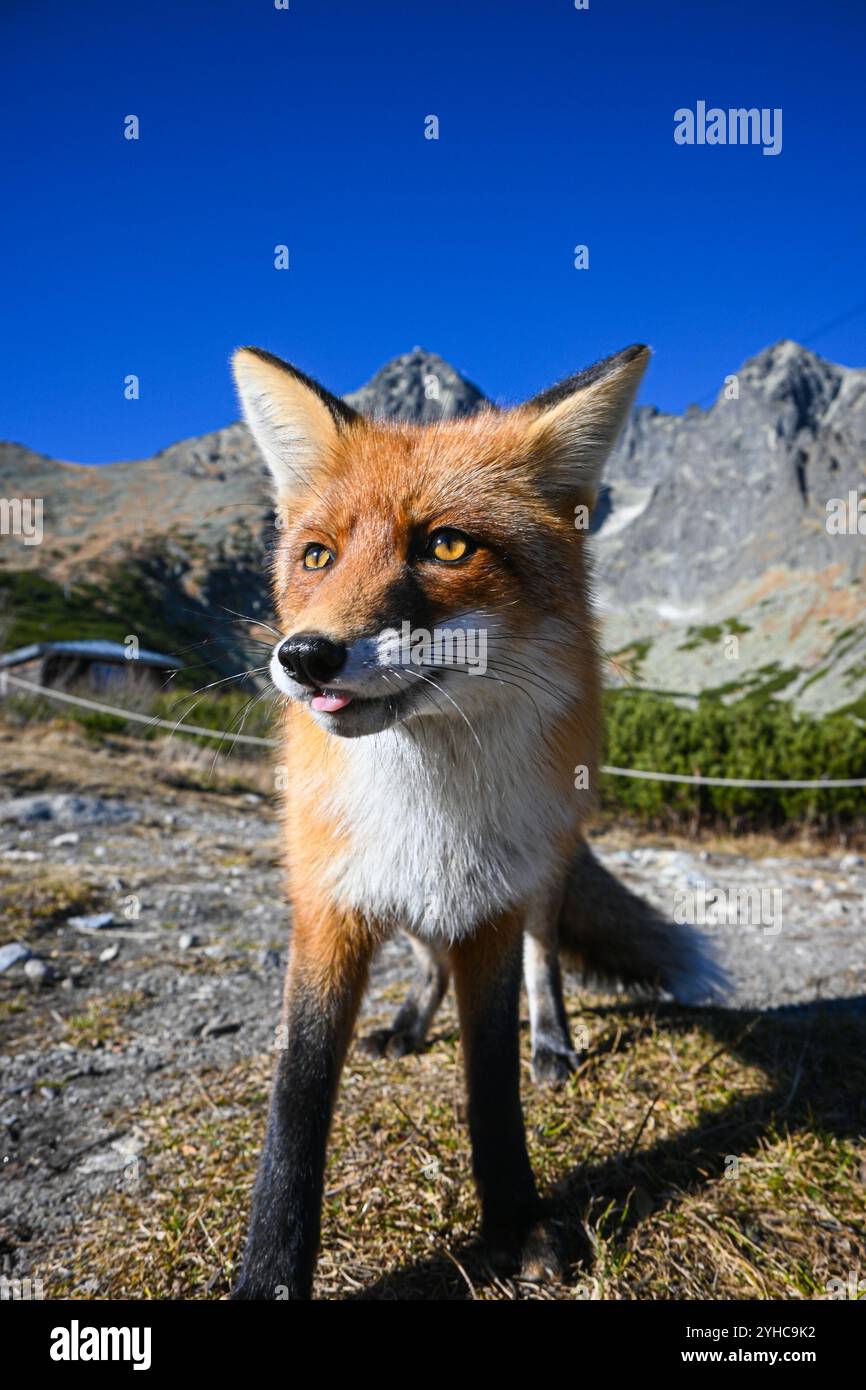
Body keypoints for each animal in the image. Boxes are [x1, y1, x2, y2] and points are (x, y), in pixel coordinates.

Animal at [226, 341, 722, 1295]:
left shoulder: (489, 905)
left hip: (545, 862)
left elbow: (491, 1076)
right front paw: (269, 1270)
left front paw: (515, 1221)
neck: (427, 803)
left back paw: (553, 1045)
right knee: (426, 959)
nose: (304, 657)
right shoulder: (327, 898)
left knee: (545, 953)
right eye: (316, 556)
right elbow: (295, 1104)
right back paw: (409, 1024)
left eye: (447, 545)